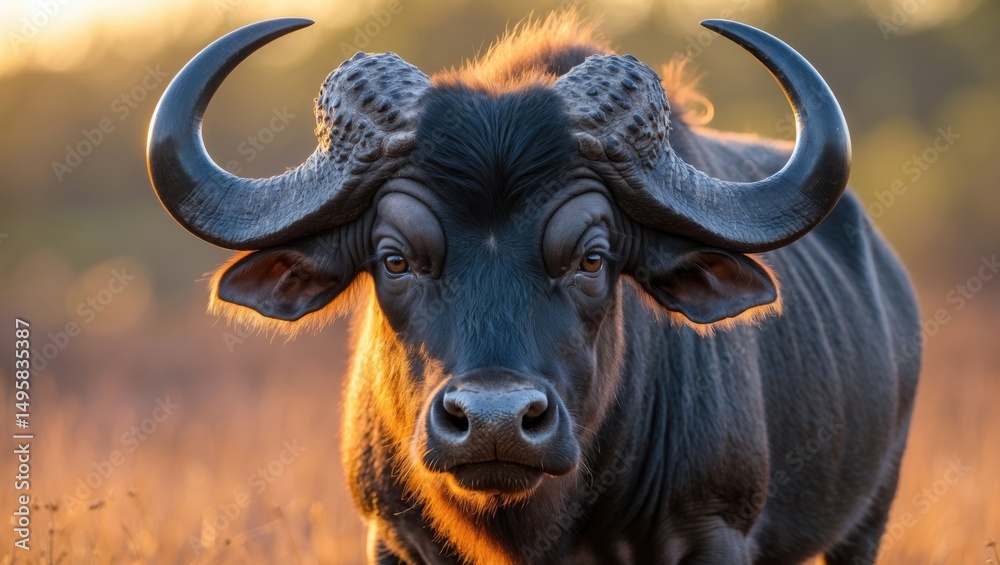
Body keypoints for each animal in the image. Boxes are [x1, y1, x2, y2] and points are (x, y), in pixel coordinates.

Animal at [147, 13, 920, 564]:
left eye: (592, 257)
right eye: (394, 259)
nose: (495, 421)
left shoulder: (715, 528)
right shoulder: (391, 537)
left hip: (867, 519)